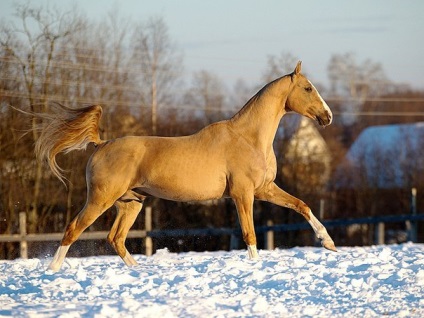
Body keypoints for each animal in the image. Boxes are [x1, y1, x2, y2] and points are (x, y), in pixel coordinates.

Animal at [39, 60, 338, 272]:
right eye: (308, 88)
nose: (328, 117)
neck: (249, 137)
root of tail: (101, 144)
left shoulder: (264, 189)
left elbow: (301, 205)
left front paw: (329, 243)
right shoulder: (243, 194)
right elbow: (249, 234)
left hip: (130, 203)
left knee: (116, 238)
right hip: (100, 199)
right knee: (73, 229)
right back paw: (52, 272)